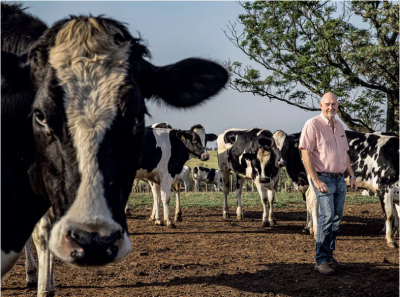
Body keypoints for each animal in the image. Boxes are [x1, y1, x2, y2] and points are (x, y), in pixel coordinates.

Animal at [0, 2, 228, 276]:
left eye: (205, 139)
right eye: (193, 138)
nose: (205, 155)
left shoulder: (153, 175)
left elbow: (156, 197)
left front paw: (157, 219)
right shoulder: (164, 174)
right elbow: (164, 196)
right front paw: (168, 221)